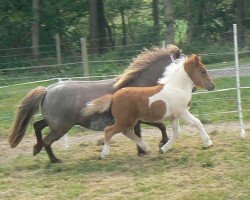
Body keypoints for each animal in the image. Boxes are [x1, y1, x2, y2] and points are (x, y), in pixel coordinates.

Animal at [83, 54, 215, 159]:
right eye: (203, 70)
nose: (212, 86)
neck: (177, 87)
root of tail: (113, 96)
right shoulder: (182, 112)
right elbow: (197, 122)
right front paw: (208, 143)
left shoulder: (173, 116)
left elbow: (176, 132)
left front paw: (163, 149)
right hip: (124, 120)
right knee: (109, 131)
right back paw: (103, 154)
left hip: (130, 121)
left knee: (128, 132)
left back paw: (146, 147)